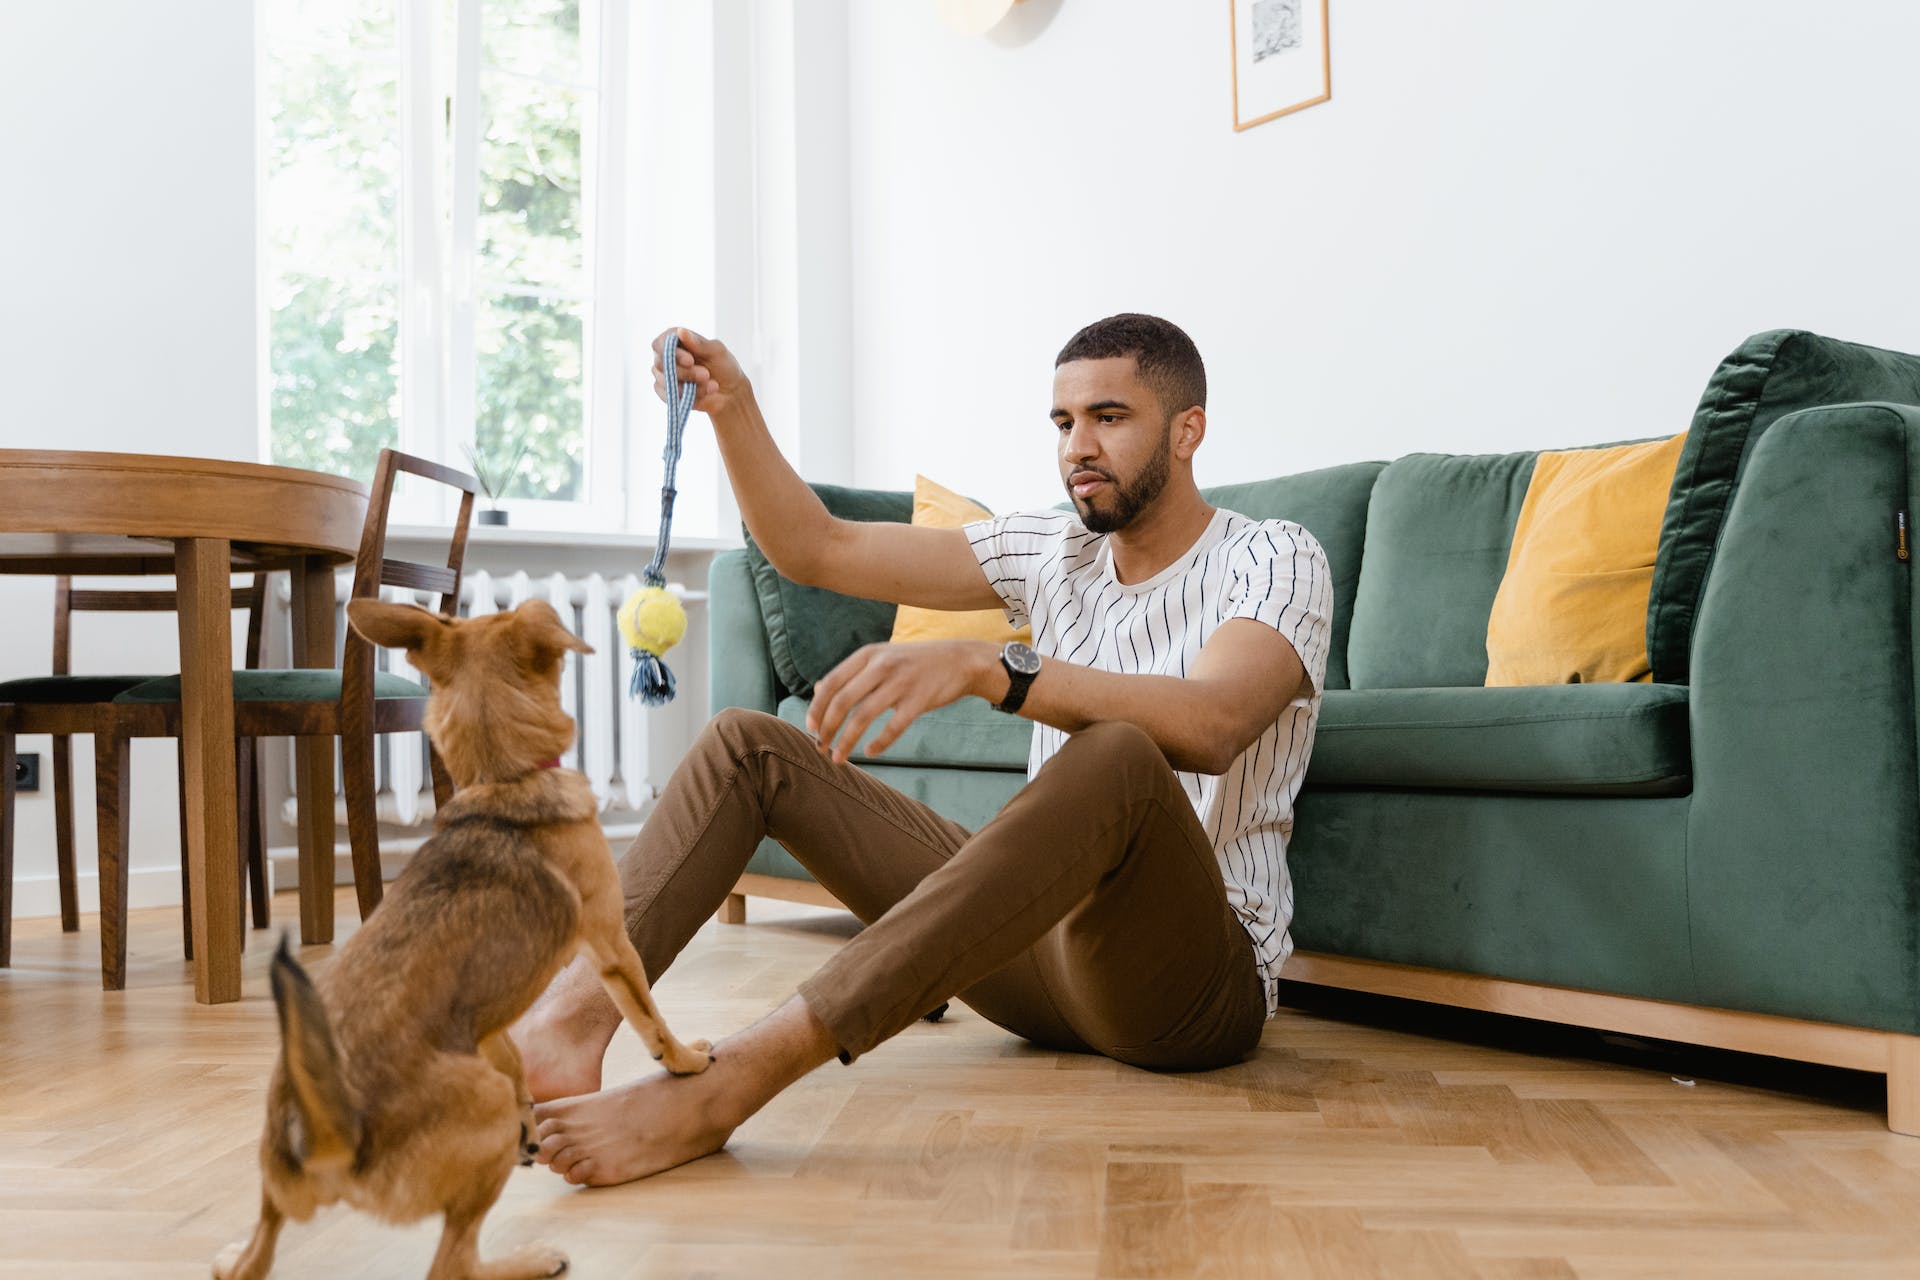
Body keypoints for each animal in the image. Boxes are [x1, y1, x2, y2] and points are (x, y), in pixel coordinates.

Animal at [216, 602, 714, 1280]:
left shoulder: (488, 1017)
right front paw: (685, 1059)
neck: (502, 783)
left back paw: (229, 1256)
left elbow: (512, 1054)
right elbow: (649, 1019)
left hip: (273, 1199)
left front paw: (533, 1105)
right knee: (451, 1263)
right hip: (482, 1119)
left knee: (254, 1257)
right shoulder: (612, 943)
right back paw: (530, 1259)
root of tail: (330, 1133)